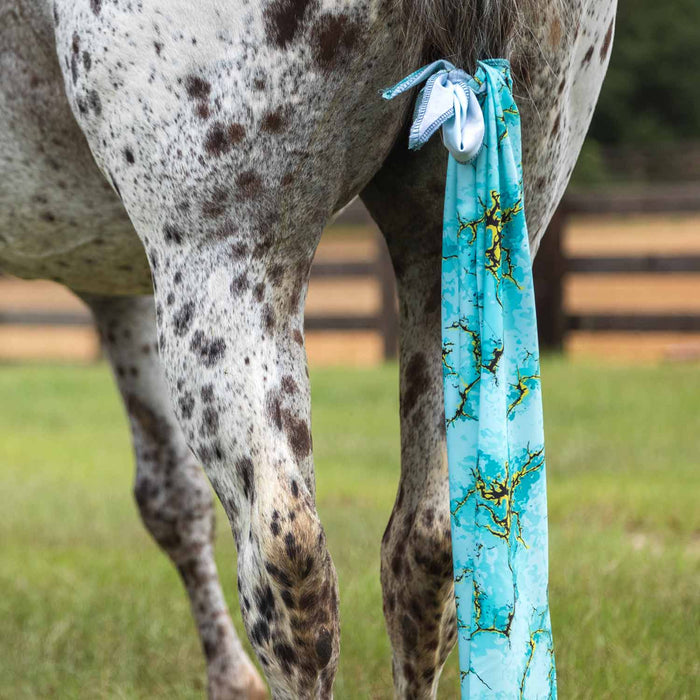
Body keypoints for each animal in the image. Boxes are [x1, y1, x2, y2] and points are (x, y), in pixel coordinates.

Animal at [0, 0, 616, 697]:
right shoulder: (116, 288)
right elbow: (171, 497)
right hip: (468, 250)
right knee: (428, 543)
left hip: (223, 263)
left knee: (288, 555)